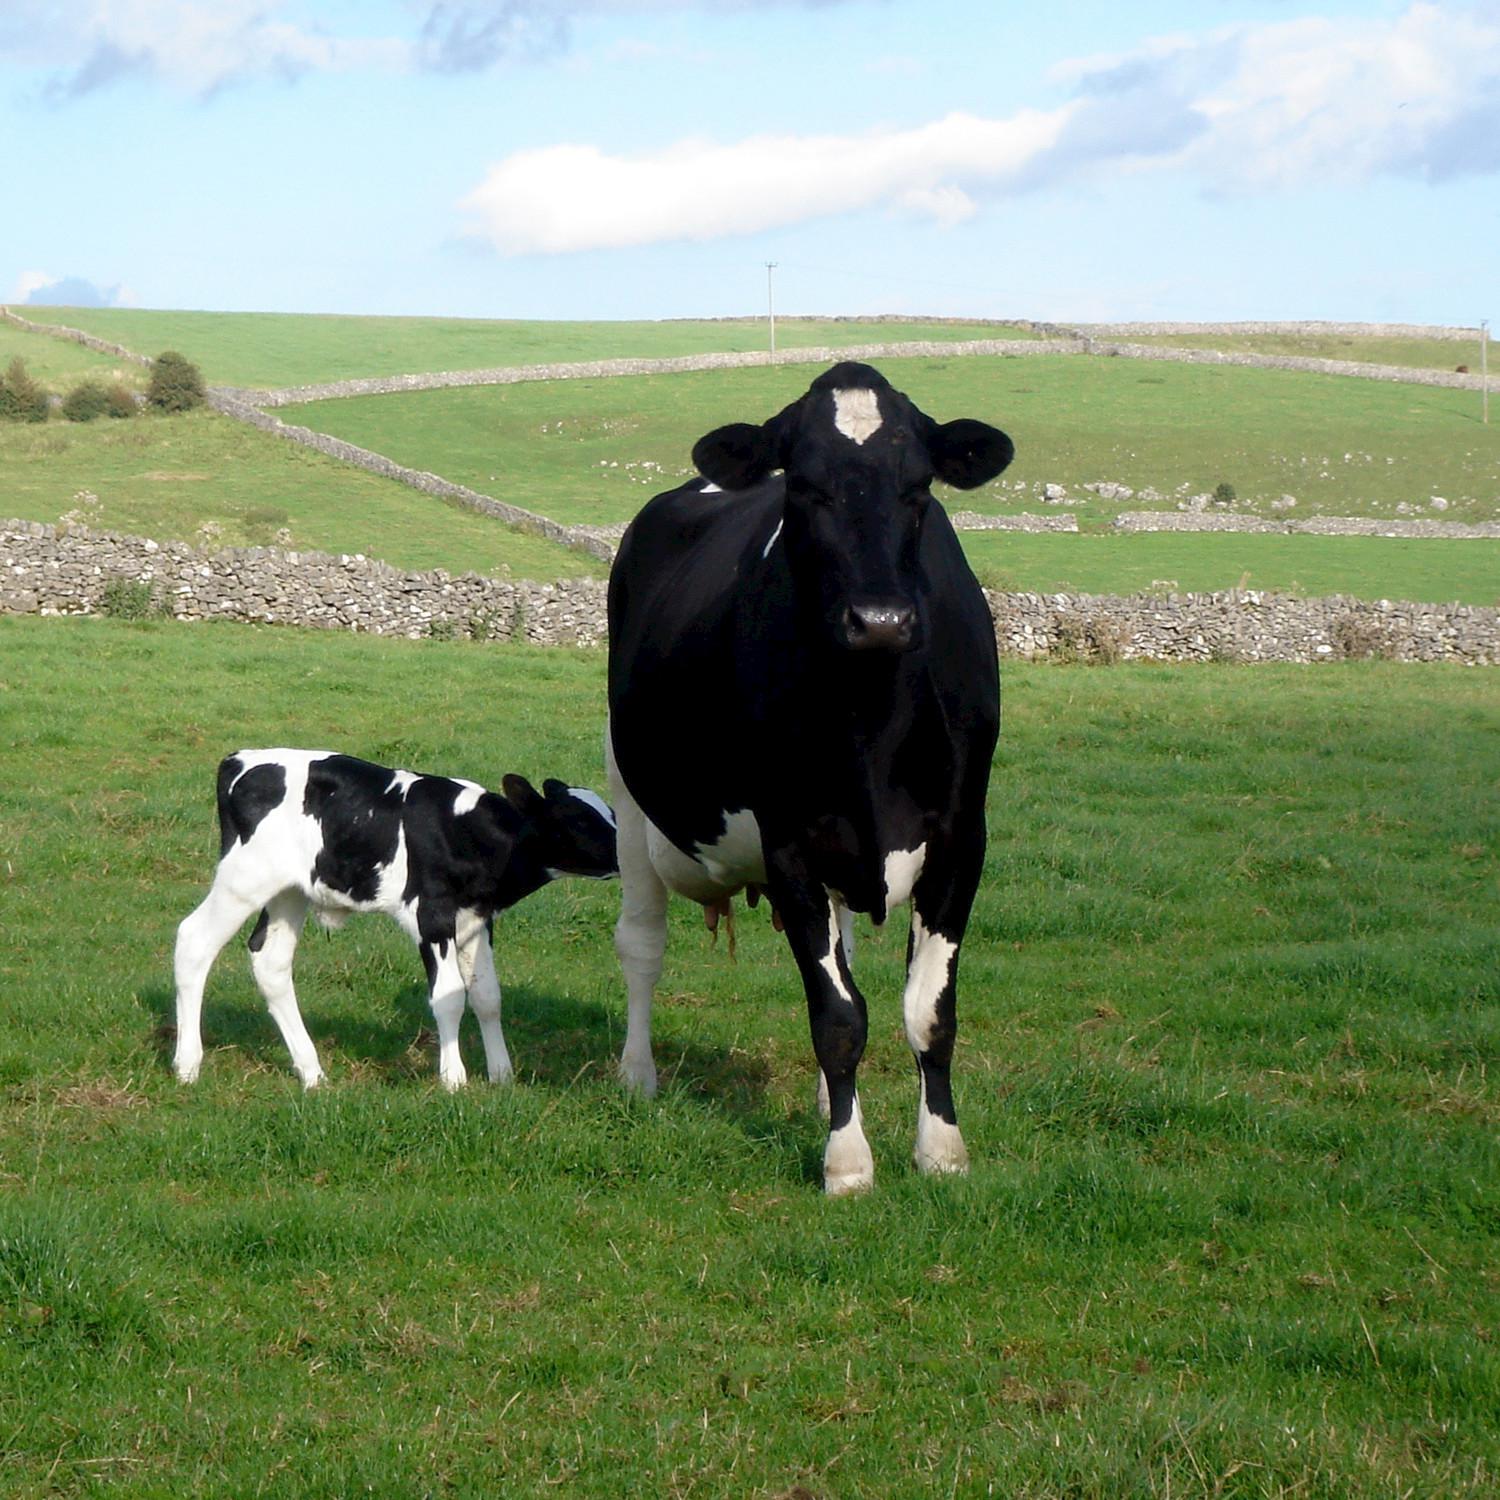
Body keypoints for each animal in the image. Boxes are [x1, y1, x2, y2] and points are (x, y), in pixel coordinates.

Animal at [172, 750, 618, 1092]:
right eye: (578, 820)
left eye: (611, 811)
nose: (624, 852)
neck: (466, 829)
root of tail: (239, 759)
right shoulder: (432, 916)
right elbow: (450, 997)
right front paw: (454, 1080)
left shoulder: (476, 919)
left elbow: (488, 996)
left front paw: (502, 1075)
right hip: (244, 880)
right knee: (194, 941)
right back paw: (187, 1065)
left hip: (289, 891)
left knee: (271, 962)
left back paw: (312, 1073)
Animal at [603, 357, 1014, 1188]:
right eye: (803, 486)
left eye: (918, 487)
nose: (880, 620)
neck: (872, 722)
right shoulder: (789, 841)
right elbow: (838, 1016)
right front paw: (847, 1161)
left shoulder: (962, 839)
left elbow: (927, 1010)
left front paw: (940, 1149)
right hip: (629, 797)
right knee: (641, 945)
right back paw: (637, 1075)